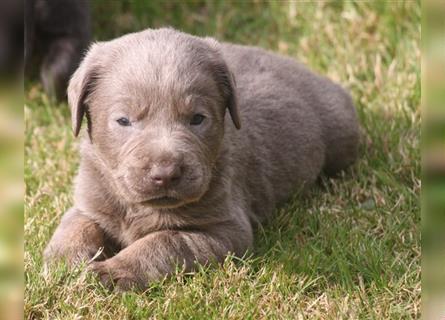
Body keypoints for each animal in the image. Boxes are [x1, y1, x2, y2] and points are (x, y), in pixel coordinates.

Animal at [43, 28, 360, 290]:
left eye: (197, 119)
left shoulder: (224, 230)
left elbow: (163, 242)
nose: (165, 173)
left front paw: (114, 271)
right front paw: (64, 264)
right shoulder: (91, 201)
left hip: (341, 134)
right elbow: (76, 227)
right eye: (123, 120)